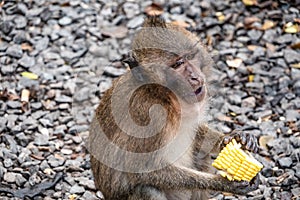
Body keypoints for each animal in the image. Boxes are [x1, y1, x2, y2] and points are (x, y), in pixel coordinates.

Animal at [88, 16, 258, 199]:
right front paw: (223, 182)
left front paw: (232, 138)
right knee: (146, 189)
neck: (165, 96)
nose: (195, 77)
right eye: (178, 64)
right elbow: (143, 170)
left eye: (190, 56)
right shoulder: (148, 115)